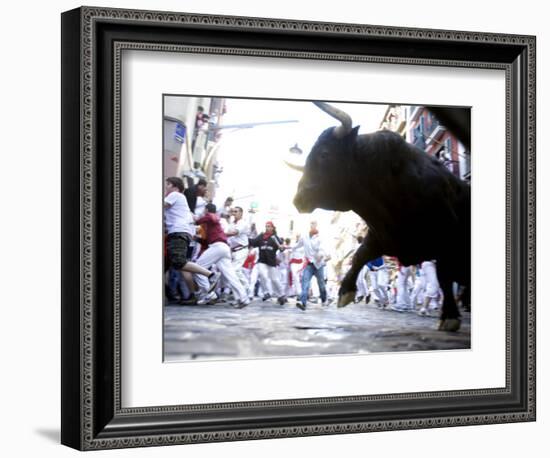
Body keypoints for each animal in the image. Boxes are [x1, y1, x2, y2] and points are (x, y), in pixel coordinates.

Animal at [296, 102, 472, 330]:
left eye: (324, 154)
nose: (298, 198)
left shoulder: (446, 238)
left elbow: (443, 276)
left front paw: (449, 316)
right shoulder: (382, 236)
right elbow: (359, 255)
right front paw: (345, 292)